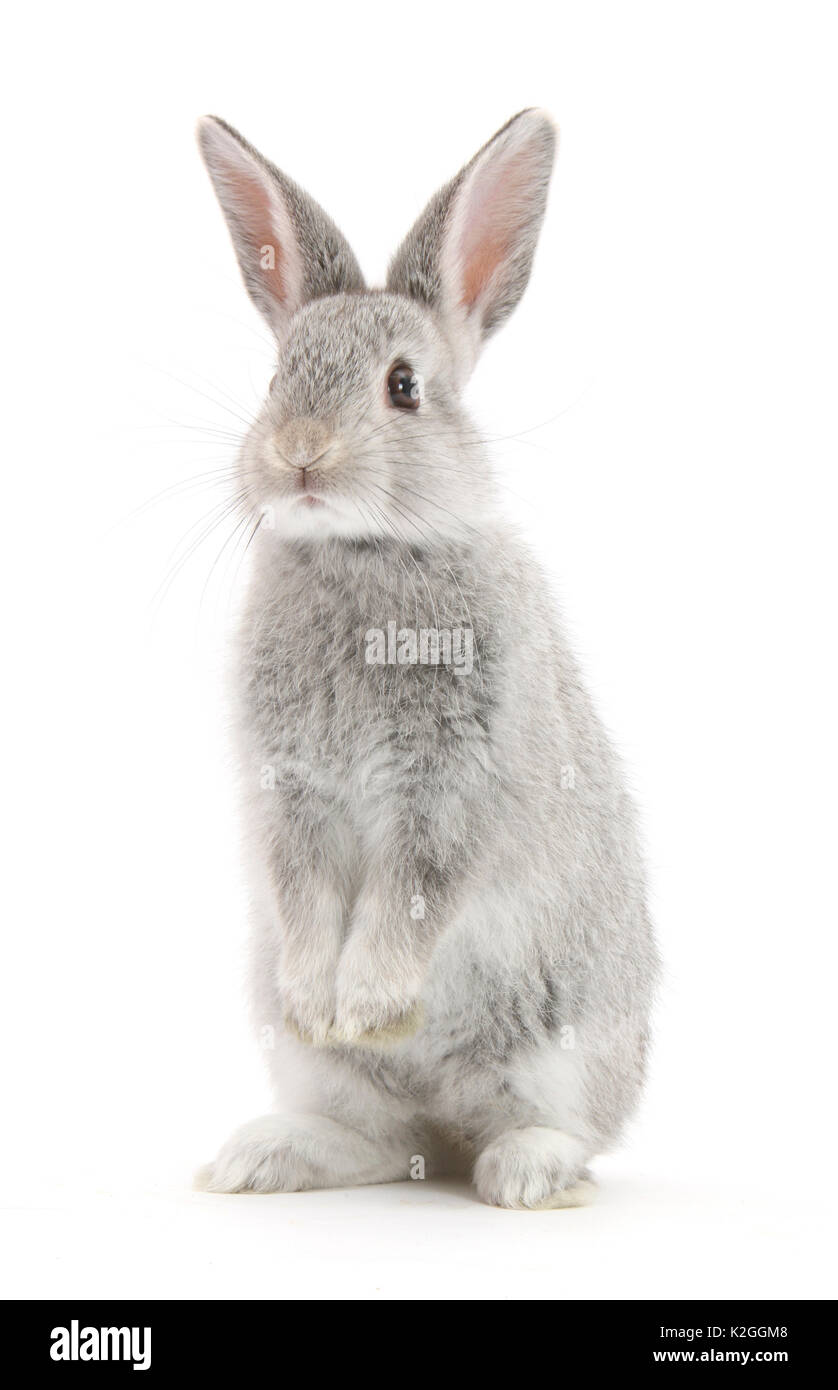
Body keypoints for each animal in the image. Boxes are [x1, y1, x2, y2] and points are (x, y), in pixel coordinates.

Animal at [193, 111, 658, 1206]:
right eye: (276, 378)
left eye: (403, 388)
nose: (300, 449)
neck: (361, 553)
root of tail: (444, 1132)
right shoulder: (290, 793)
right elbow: (305, 895)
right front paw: (326, 1002)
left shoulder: (451, 785)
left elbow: (415, 895)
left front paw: (368, 1001)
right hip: (315, 1067)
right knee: (376, 1137)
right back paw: (259, 1155)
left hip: (565, 1041)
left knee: (555, 1130)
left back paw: (525, 1174)